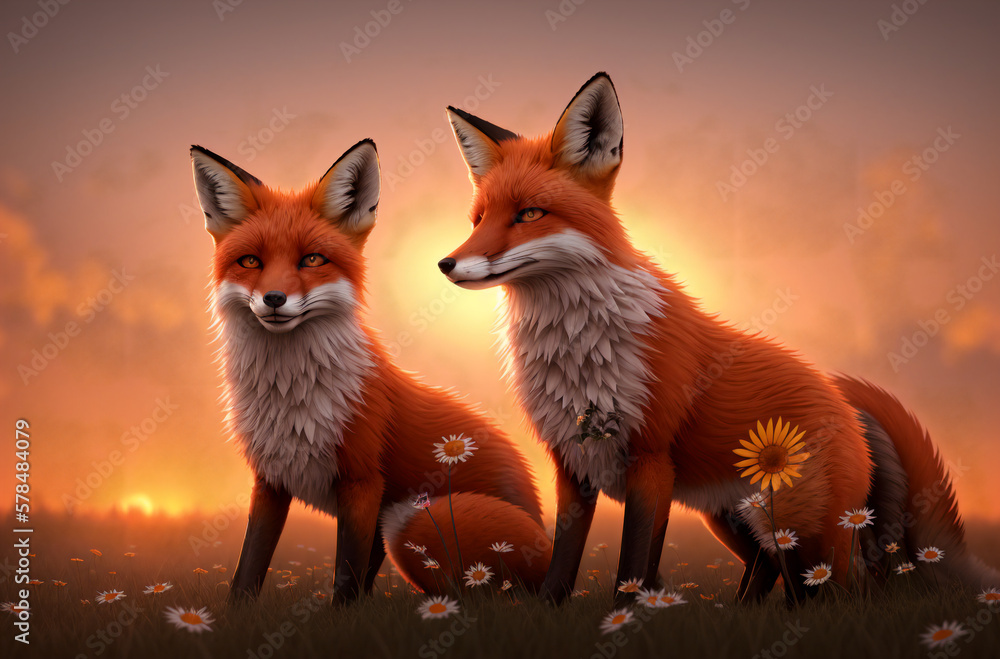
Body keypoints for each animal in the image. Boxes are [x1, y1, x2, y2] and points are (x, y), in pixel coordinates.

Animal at [190, 139, 551, 604]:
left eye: (312, 259)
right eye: (250, 261)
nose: (273, 298)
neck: (291, 397)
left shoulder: (362, 482)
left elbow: (345, 574)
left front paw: (340, 617)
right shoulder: (270, 480)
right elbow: (249, 565)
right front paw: (237, 614)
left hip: (412, 517)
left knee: (474, 597)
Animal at [438, 72, 998, 605]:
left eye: (529, 214)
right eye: (478, 219)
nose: (446, 264)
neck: (578, 353)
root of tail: (842, 399)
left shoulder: (651, 462)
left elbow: (633, 565)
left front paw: (626, 620)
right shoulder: (572, 465)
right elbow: (562, 563)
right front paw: (554, 614)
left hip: (797, 522)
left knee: (832, 592)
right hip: (733, 517)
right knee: (772, 568)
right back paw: (738, 615)